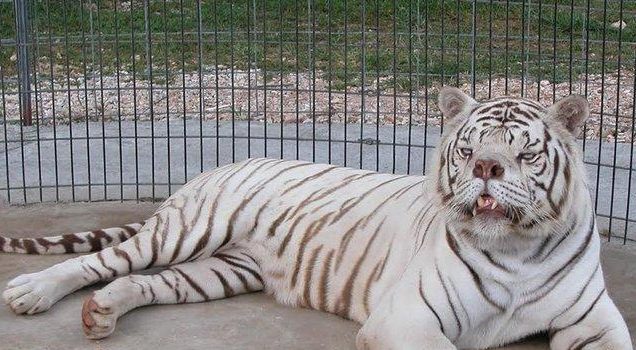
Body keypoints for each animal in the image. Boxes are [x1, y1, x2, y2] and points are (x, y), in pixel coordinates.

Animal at [2, 87, 632, 348]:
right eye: (468, 148)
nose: (485, 168)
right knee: (102, 261)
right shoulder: (406, 317)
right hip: (188, 231)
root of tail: (222, 162)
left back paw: (102, 313)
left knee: (142, 281)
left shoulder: (595, 321)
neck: (517, 249)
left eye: (523, 153)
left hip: (222, 270)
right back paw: (31, 293)